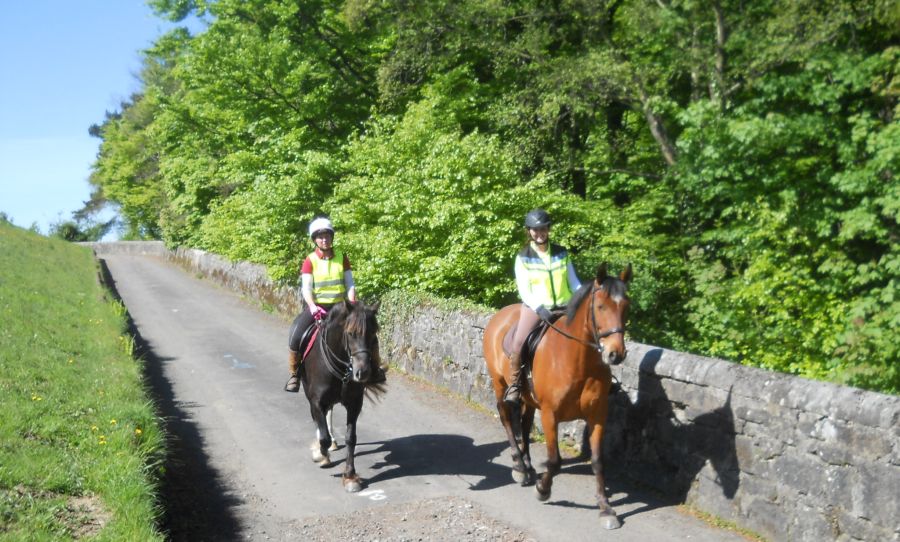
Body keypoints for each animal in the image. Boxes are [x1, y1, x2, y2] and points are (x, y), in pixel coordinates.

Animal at [300, 300, 384, 496]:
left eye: (373, 333)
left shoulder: (355, 404)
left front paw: (350, 477)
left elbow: (350, 438)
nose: (363, 372)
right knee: (318, 420)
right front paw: (321, 455)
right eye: (351, 333)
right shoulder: (316, 400)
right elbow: (323, 434)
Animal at [486, 264, 632, 532]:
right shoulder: (550, 414)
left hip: (529, 398)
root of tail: (500, 315)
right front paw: (543, 490)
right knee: (507, 419)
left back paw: (528, 466)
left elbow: (598, 461)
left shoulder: (598, 415)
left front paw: (605, 508)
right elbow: (554, 461)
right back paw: (519, 466)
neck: (580, 362)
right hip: (500, 384)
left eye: (626, 306)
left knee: (524, 424)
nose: (615, 354)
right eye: (600, 306)